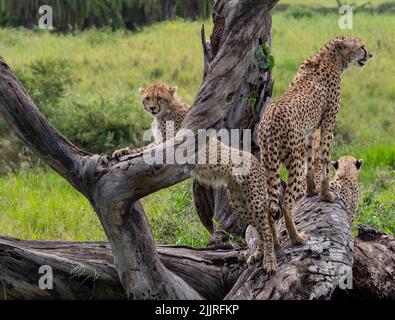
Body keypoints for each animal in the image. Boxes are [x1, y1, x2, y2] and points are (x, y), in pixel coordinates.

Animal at [258, 35, 372, 245]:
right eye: (361, 46)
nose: (370, 54)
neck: (332, 59)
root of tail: (270, 117)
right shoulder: (328, 124)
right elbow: (325, 158)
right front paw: (327, 195)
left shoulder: (310, 130)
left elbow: (312, 160)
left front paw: (311, 191)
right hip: (293, 160)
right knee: (285, 203)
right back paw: (296, 238)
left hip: (269, 163)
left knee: (270, 205)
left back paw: (275, 241)